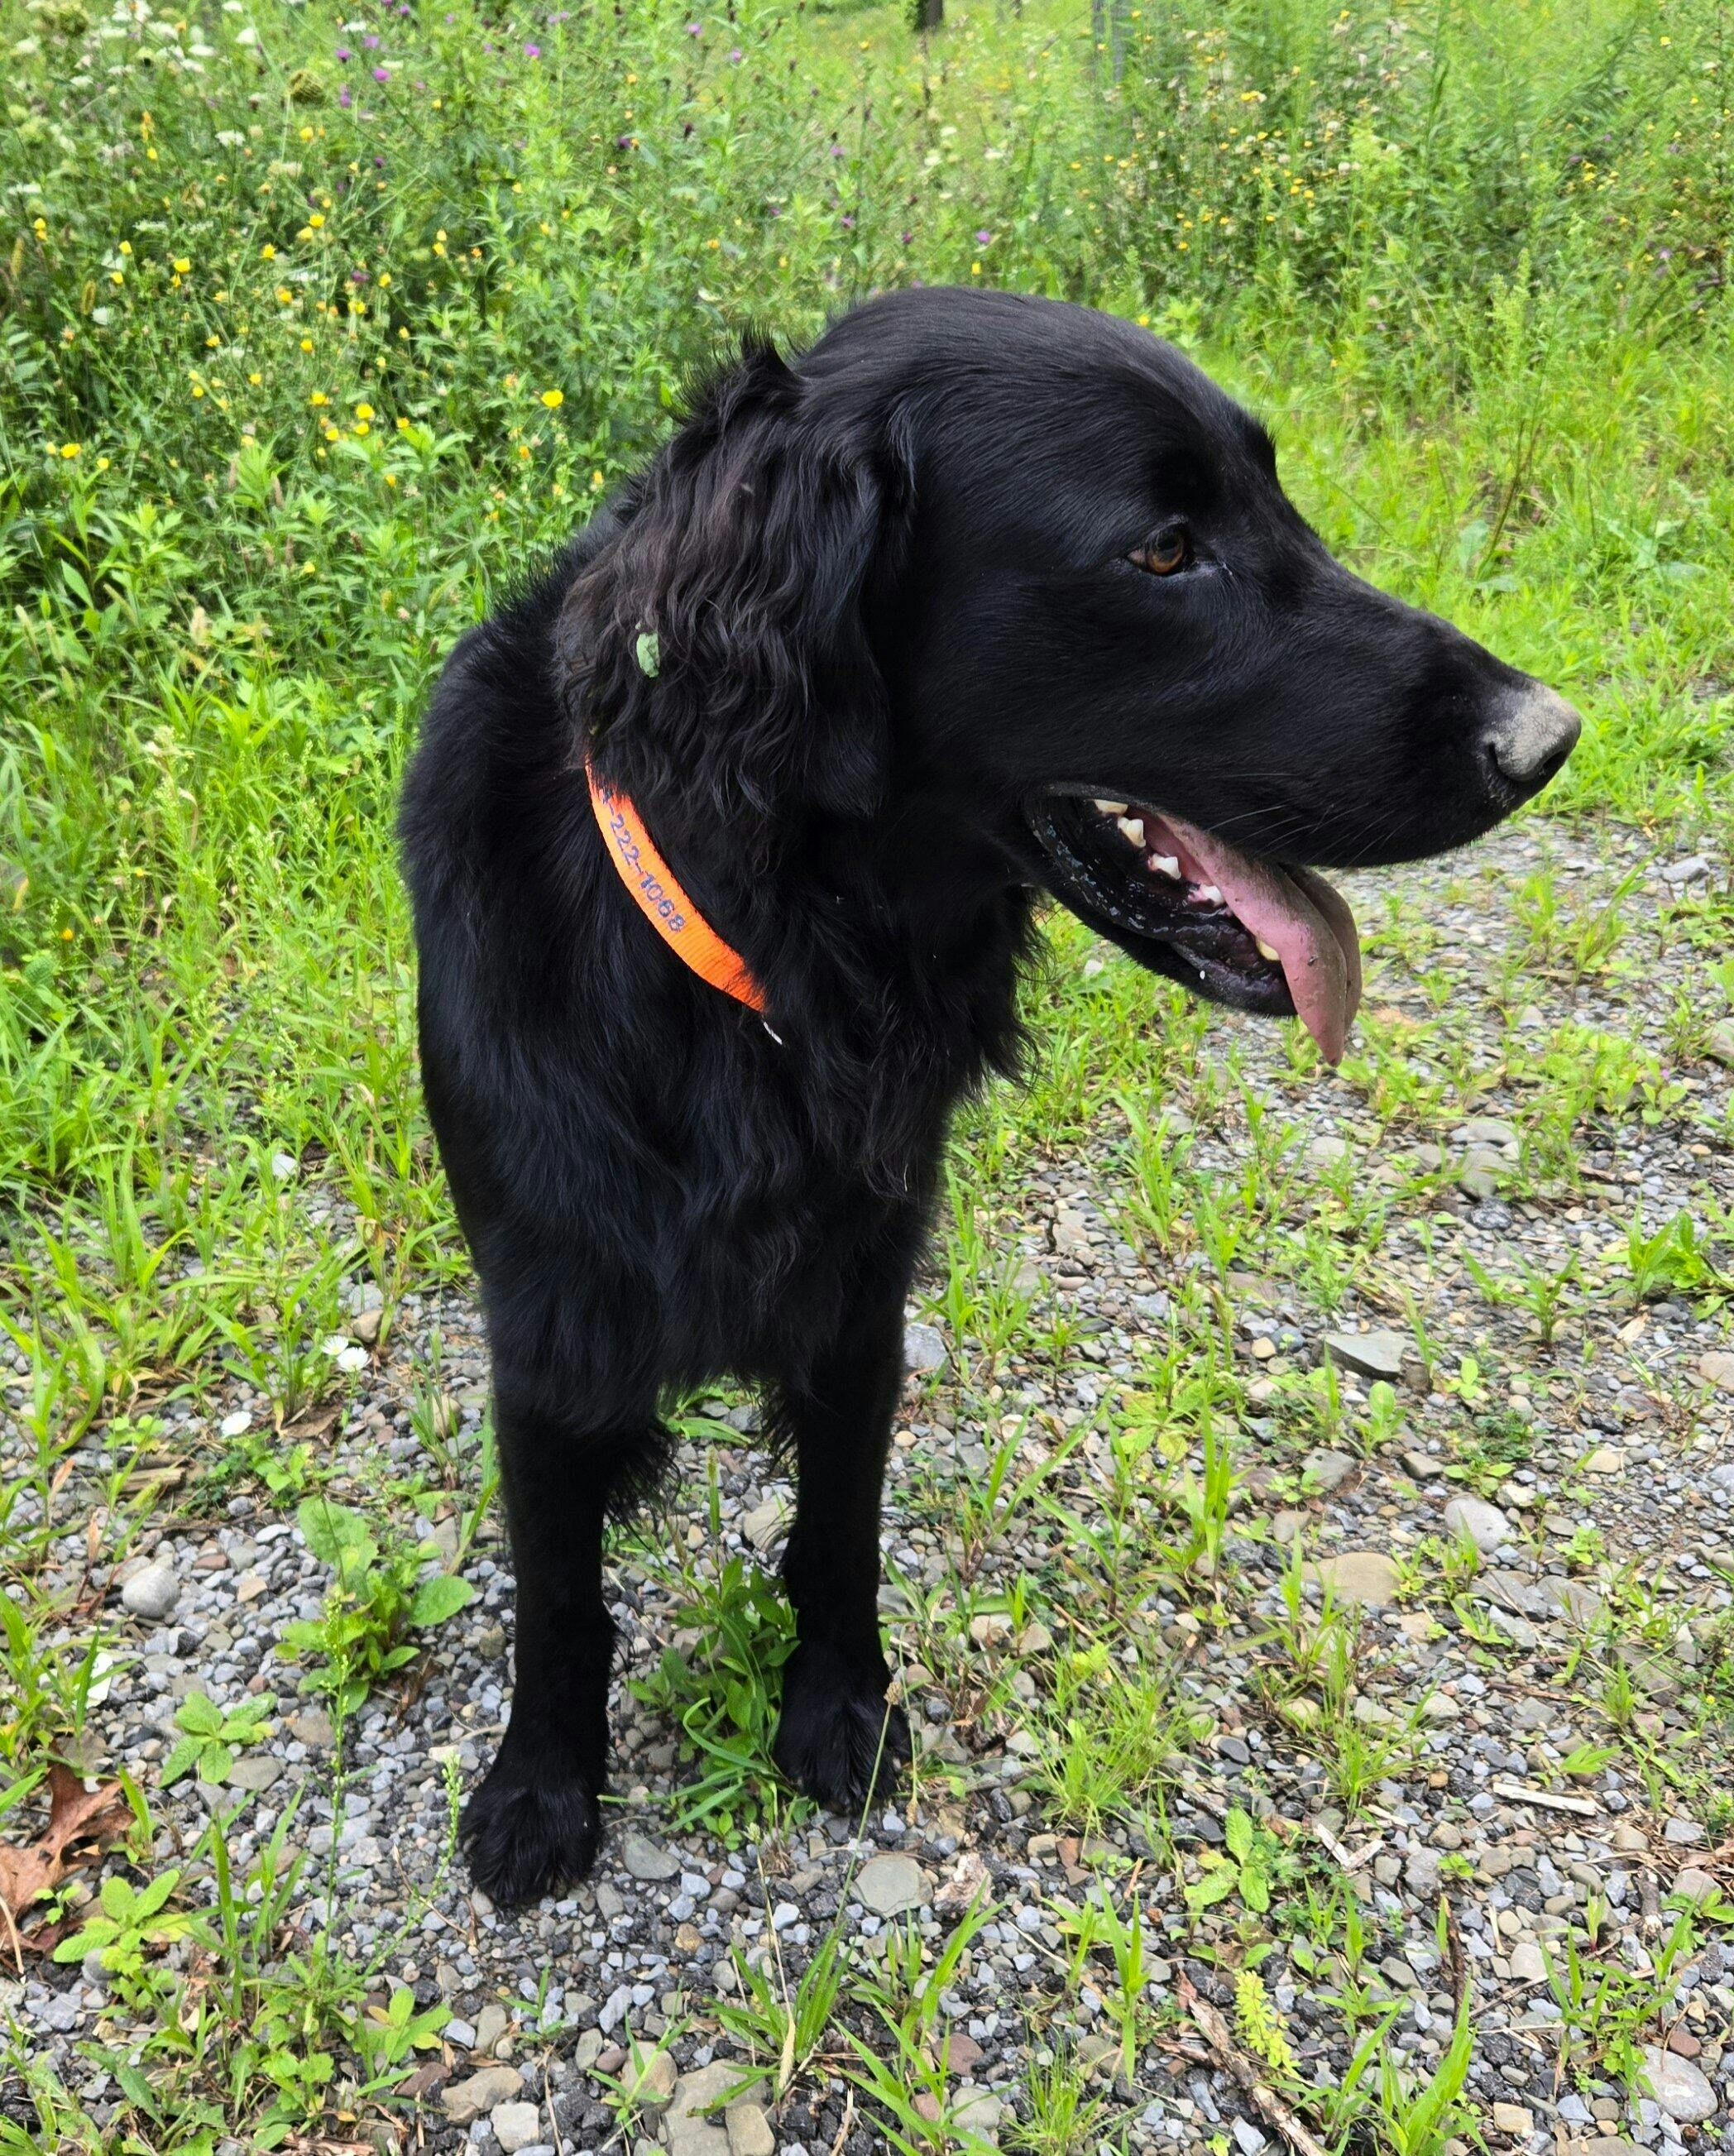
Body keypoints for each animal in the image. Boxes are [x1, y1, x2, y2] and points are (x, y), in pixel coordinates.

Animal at [399, 287, 1579, 1906]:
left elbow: (836, 1534)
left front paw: (837, 1706)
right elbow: (560, 1589)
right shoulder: (544, 1313)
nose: (1546, 736)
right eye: (1163, 550)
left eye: (1276, 495)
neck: (769, 959)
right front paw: (541, 1784)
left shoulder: (860, 1290)